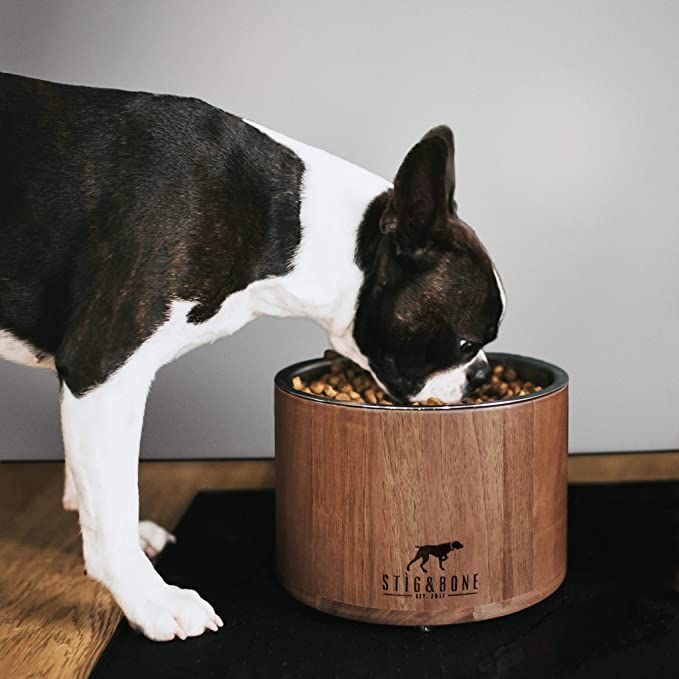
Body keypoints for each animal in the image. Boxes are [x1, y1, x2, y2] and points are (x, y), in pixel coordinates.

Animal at [0, 74, 504, 644]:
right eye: (466, 344)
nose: (482, 373)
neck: (298, 232)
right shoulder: (103, 367)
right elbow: (113, 502)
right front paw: (149, 599)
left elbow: (93, 487)